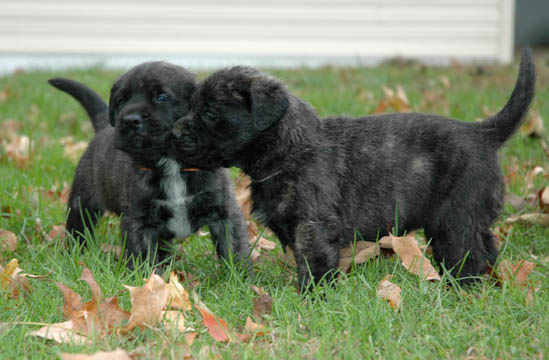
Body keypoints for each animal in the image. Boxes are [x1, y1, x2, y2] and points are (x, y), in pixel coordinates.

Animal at [49, 62, 250, 270]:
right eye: (121, 100)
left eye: (161, 97)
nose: (130, 120)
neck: (171, 163)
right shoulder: (139, 222)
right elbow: (145, 258)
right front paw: (150, 278)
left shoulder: (225, 213)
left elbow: (234, 248)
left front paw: (240, 275)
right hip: (82, 202)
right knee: (78, 230)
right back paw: (74, 256)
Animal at [172, 48, 536, 290]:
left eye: (209, 113)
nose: (174, 132)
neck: (287, 148)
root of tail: (483, 133)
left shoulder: (312, 226)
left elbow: (313, 263)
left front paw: (311, 298)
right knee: (485, 249)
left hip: (456, 220)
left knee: (469, 255)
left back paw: (461, 290)